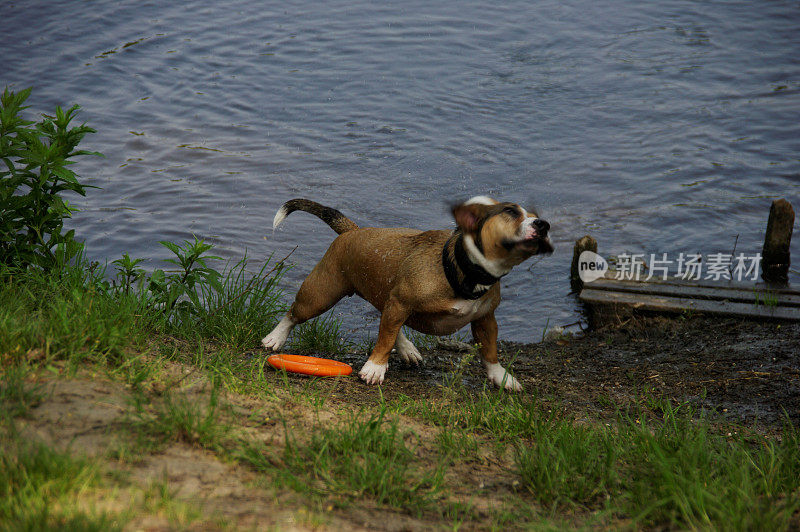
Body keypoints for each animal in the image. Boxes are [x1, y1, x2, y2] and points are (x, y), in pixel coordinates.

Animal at [262, 197, 552, 388]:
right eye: (510, 212)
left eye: (532, 214)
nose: (543, 224)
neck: (462, 270)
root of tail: (352, 231)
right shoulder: (400, 303)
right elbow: (384, 339)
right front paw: (375, 367)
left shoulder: (485, 318)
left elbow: (490, 350)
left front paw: (501, 377)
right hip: (320, 294)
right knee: (294, 314)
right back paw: (274, 338)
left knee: (389, 324)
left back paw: (406, 349)